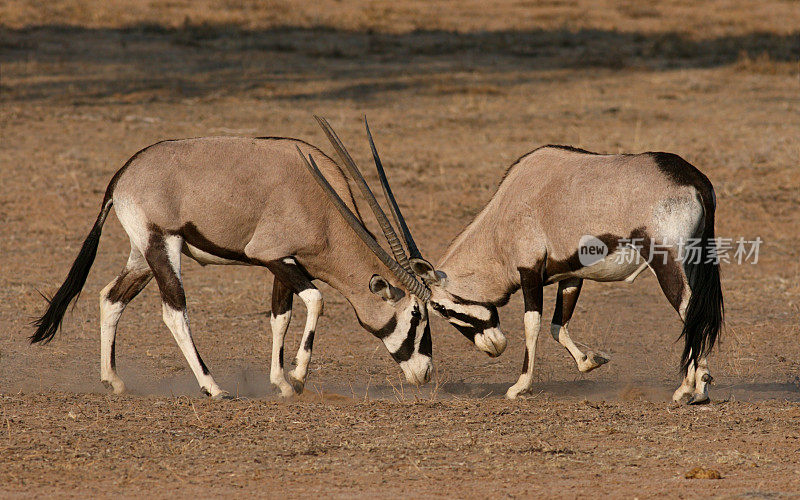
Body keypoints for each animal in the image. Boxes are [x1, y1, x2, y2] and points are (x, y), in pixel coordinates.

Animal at [31, 118, 434, 398]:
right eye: (415, 315)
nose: (426, 373)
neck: (323, 206)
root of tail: (123, 175)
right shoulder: (273, 256)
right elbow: (316, 300)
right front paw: (298, 376)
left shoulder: (286, 263)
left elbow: (281, 316)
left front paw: (281, 383)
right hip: (164, 245)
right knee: (174, 311)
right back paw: (212, 387)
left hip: (143, 255)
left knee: (111, 298)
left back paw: (113, 380)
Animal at [362, 139, 724, 404]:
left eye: (439, 308)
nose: (493, 347)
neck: (504, 216)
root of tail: (696, 181)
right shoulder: (571, 274)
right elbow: (557, 326)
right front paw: (590, 360)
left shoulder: (529, 273)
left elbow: (532, 324)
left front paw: (519, 386)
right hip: (692, 262)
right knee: (698, 313)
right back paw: (700, 387)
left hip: (667, 263)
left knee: (690, 313)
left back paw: (687, 388)